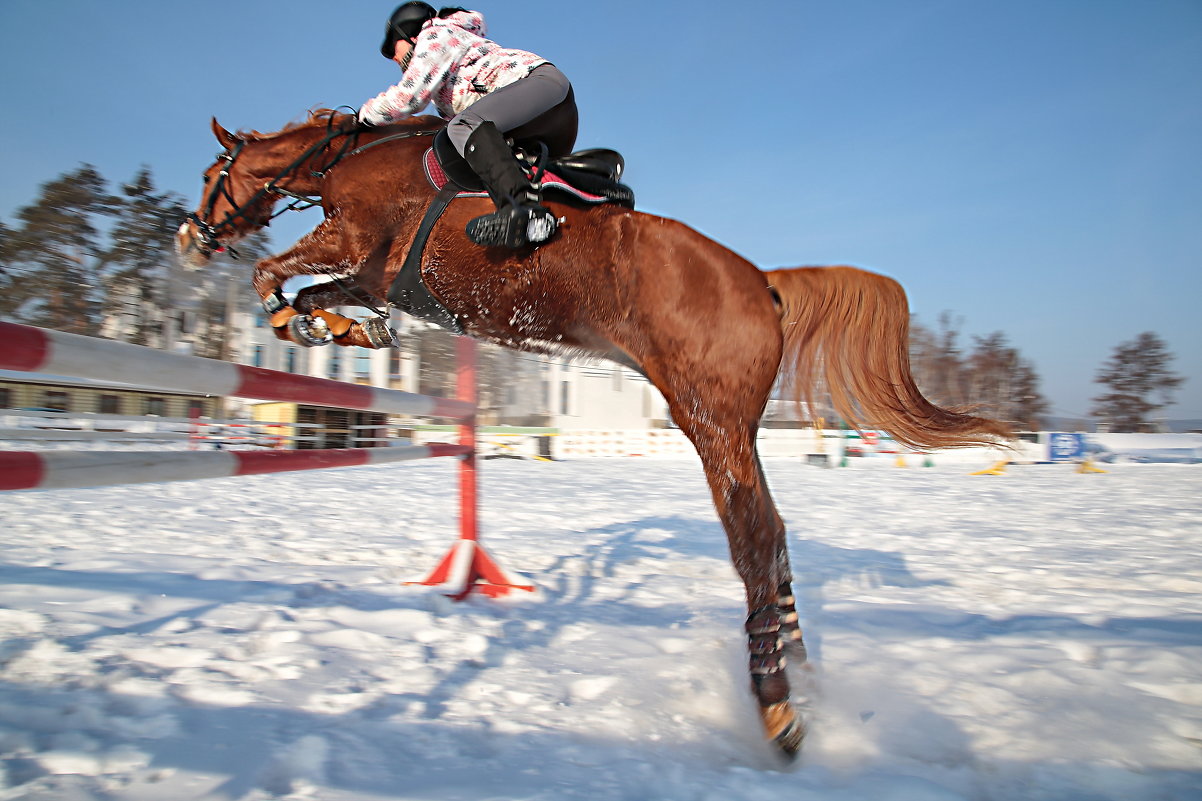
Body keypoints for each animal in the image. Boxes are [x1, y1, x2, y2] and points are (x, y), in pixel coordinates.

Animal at [174, 109, 1009, 750]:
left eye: (214, 172)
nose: (188, 237)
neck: (352, 159)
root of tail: (764, 283)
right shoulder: (372, 273)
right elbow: (322, 293)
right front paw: (346, 330)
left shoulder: (352, 240)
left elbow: (274, 274)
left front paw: (297, 319)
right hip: (733, 430)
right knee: (774, 539)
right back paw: (801, 673)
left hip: (708, 422)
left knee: (755, 539)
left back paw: (775, 704)